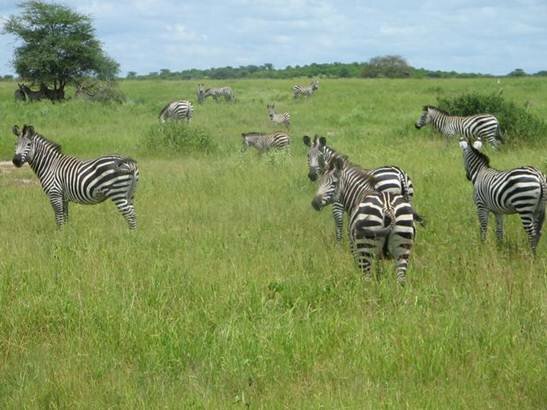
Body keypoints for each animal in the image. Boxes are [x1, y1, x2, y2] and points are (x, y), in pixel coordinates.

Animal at [12, 123, 140, 229]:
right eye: (15, 144)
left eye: (29, 144)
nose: (15, 161)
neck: (50, 164)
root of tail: (128, 162)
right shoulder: (63, 197)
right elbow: (65, 218)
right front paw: (67, 234)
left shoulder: (54, 194)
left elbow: (59, 218)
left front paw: (60, 236)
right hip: (130, 193)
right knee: (133, 214)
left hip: (118, 194)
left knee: (130, 216)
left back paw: (130, 237)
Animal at [312, 155, 416, 284]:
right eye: (320, 182)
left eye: (334, 183)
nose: (315, 203)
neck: (359, 194)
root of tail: (387, 208)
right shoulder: (379, 254)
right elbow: (379, 269)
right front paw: (380, 281)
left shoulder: (353, 244)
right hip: (403, 247)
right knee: (400, 280)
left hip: (365, 247)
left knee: (367, 279)